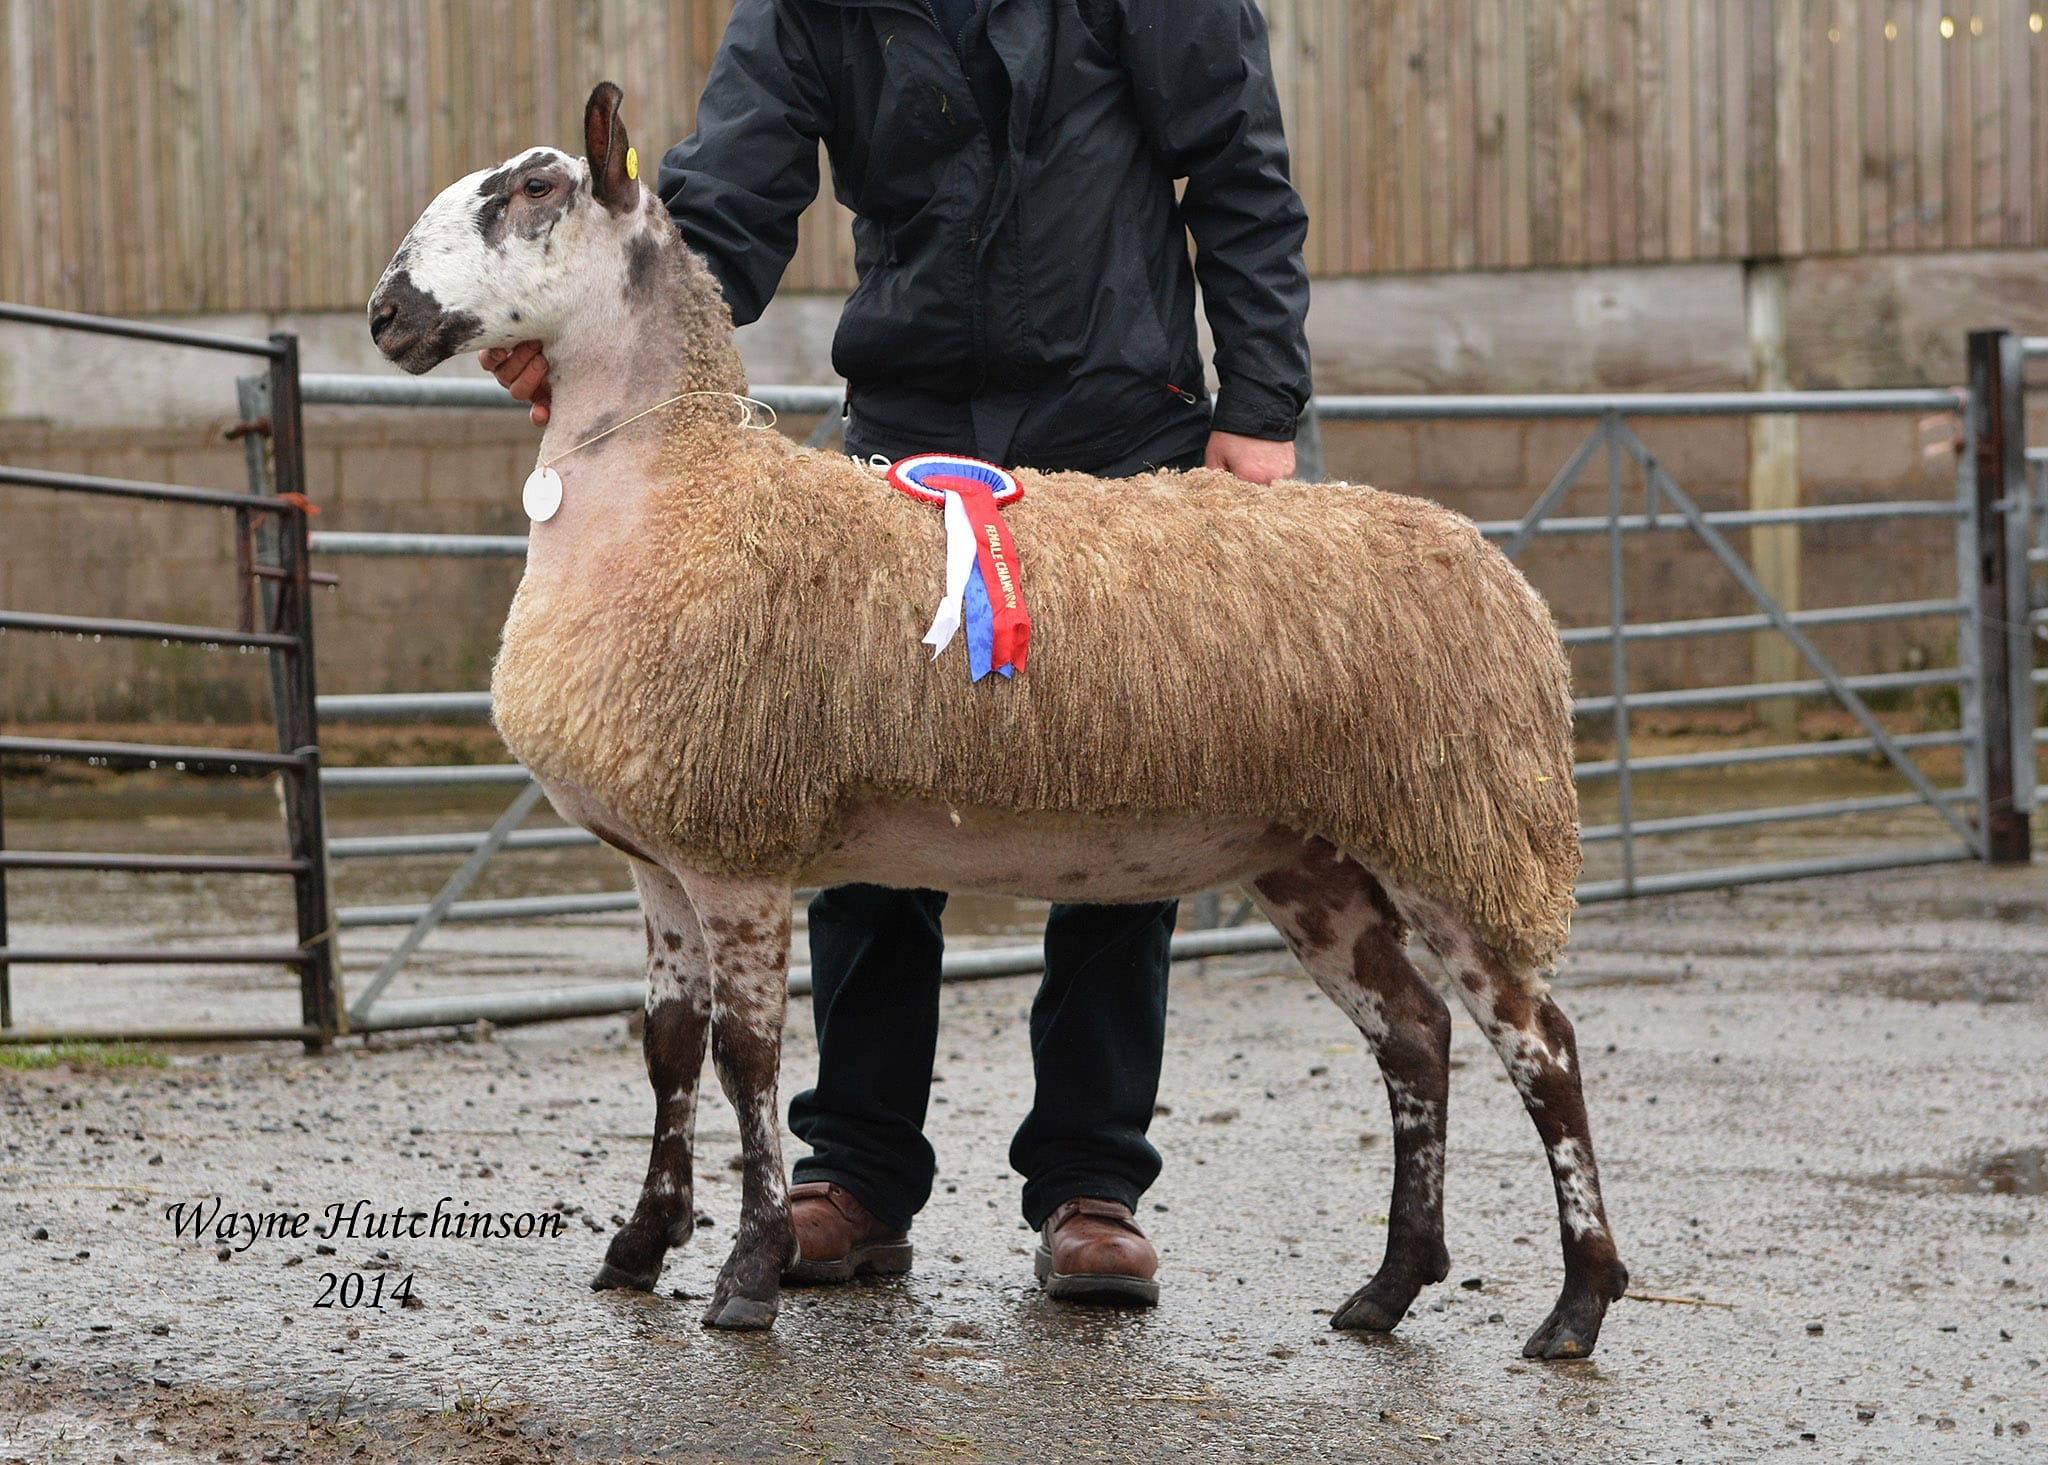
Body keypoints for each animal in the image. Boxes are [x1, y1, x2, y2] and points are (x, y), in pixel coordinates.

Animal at [368, 80, 1630, 1360]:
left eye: (535, 188)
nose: (384, 315)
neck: (678, 492)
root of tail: (1503, 577)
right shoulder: (656, 857)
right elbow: (668, 1048)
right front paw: (637, 1248)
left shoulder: (736, 846)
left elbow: (746, 1058)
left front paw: (748, 1271)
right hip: (1312, 854)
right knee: (1414, 1035)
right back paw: (1389, 1287)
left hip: (1460, 827)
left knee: (1543, 1047)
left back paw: (1575, 1304)